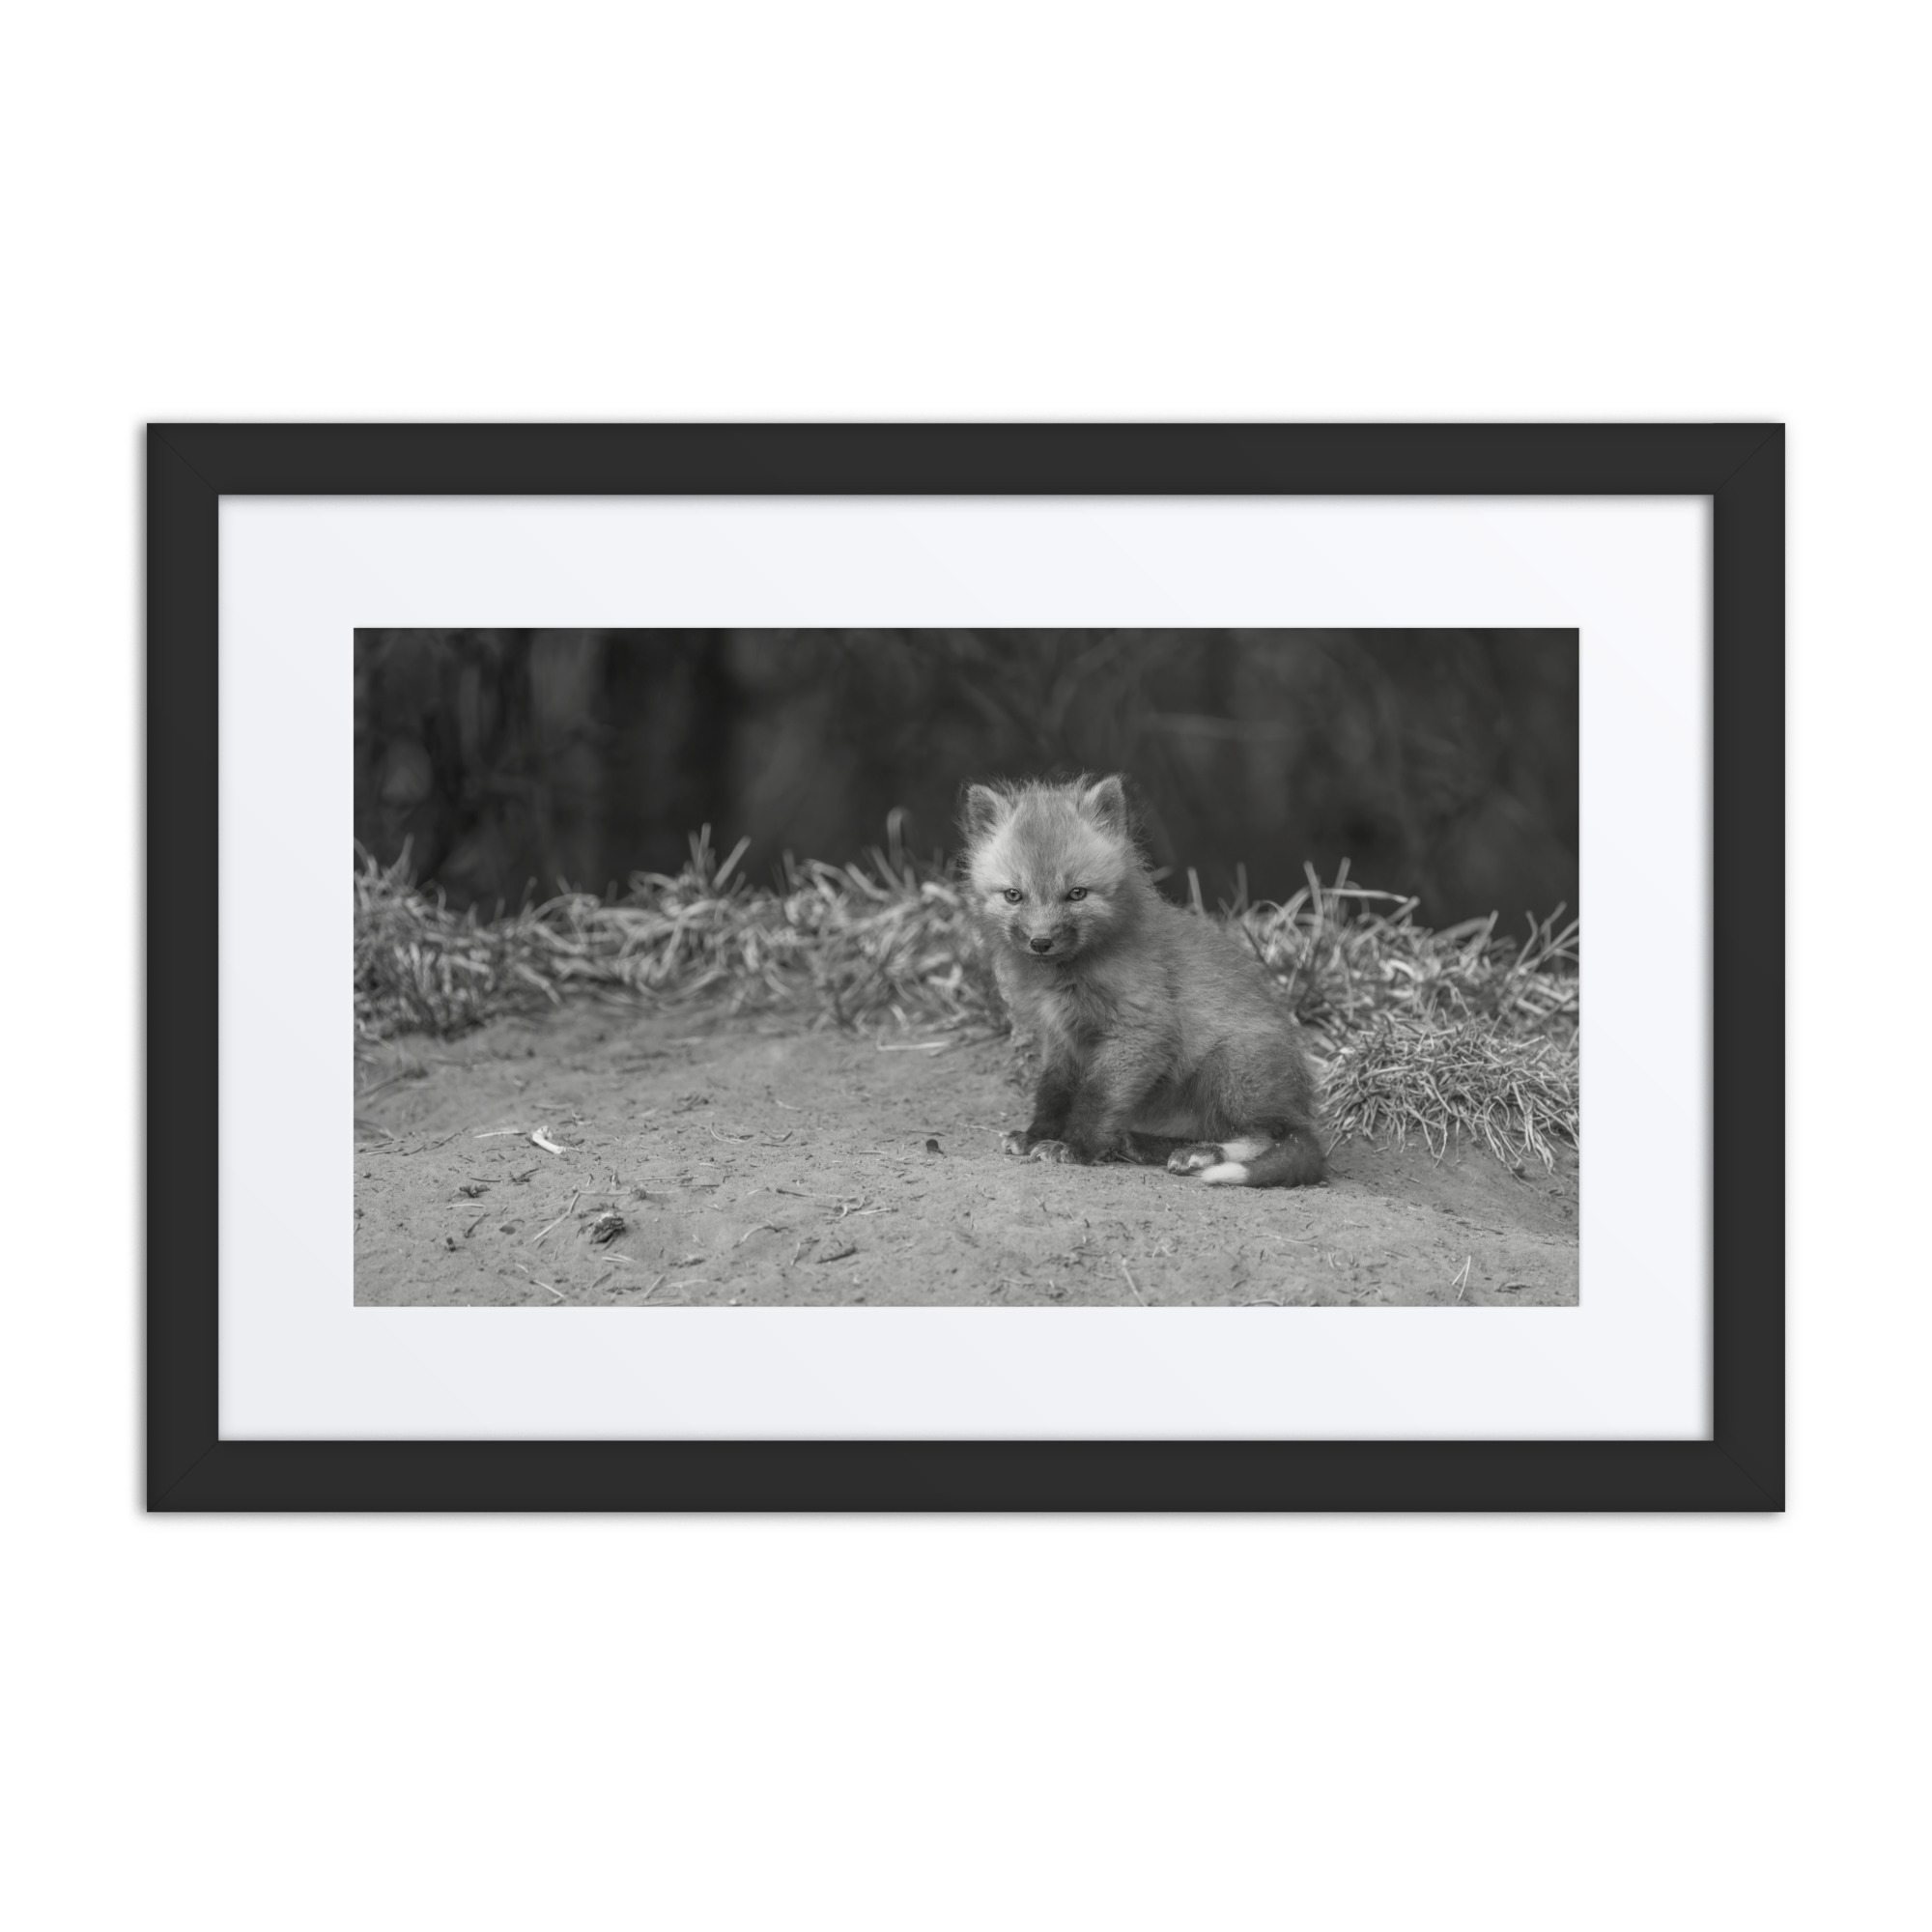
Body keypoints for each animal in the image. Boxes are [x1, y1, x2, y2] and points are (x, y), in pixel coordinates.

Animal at [961, 774, 1324, 1188]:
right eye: (1013, 895)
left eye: (1076, 894)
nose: (1041, 942)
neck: (1067, 977)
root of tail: (1300, 1105)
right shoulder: (1061, 1038)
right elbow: (1053, 1092)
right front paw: (1037, 1134)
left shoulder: (1139, 1031)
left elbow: (1097, 1097)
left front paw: (1075, 1147)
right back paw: (1143, 1144)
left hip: (1228, 1069)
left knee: (1268, 1136)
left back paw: (1200, 1155)